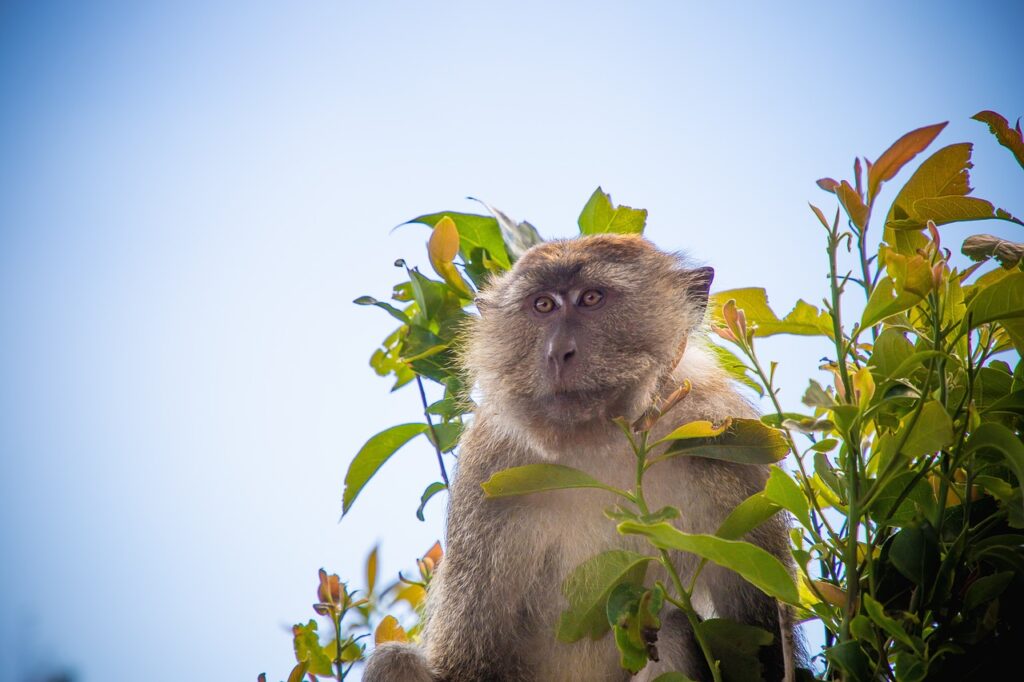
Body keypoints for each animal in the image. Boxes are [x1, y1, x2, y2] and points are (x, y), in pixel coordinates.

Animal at [364, 231, 794, 675]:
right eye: (543, 305)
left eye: (591, 298)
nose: (558, 352)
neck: (599, 447)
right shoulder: (485, 472)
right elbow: (467, 661)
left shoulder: (727, 441)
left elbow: (761, 638)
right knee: (394, 661)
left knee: (672, 629)